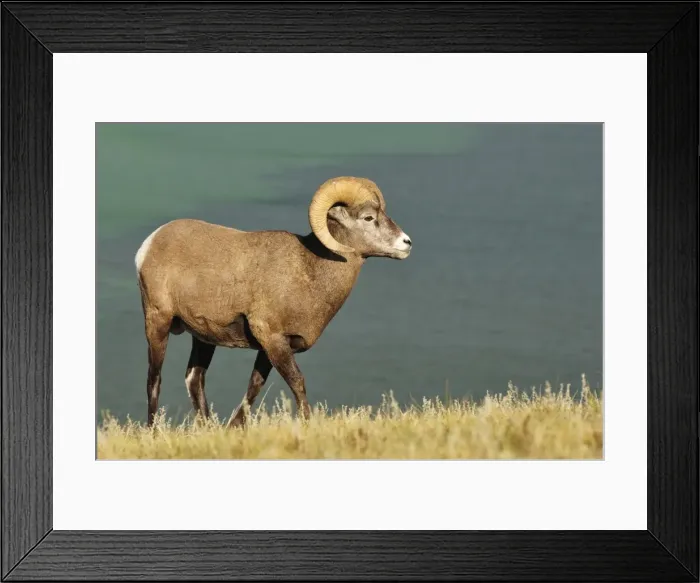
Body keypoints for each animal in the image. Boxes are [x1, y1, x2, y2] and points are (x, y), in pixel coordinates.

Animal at [135, 176, 412, 428]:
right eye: (368, 218)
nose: (406, 243)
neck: (309, 270)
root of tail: (149, 245)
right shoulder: (273, 338)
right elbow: (297, 382)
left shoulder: (271, 347)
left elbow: (254, 386)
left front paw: (234, 427)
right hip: (158, 322)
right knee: (153, 379)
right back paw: (153, 431)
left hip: (203, 337)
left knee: (194, 379)